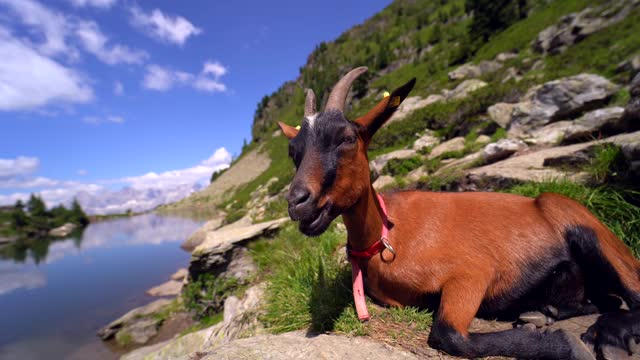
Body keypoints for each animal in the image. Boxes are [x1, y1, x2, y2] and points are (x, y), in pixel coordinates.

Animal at [278, 67, 640, 360]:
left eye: (348, 137)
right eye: (293, 152)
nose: (298, 202)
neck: (385, 236)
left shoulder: (472, 272)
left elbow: (449, 335)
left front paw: (564, 345)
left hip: (581, 226)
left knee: (633, 294)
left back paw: (606, 336)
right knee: (600, 300)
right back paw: (548, 311)